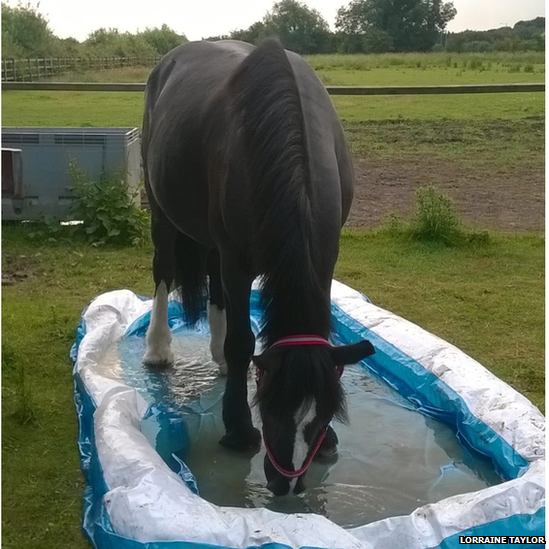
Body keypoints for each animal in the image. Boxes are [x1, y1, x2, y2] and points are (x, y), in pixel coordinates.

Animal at [139, 37, 374, 492]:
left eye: (322, 414)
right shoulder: (238, 261)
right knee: (163, 267)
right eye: (269, 407)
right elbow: (244, 342)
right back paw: (158, 348)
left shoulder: (324, 260)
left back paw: (218, 358)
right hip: (161, 209)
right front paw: (237, 429)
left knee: (212, 283)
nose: (287, 483)